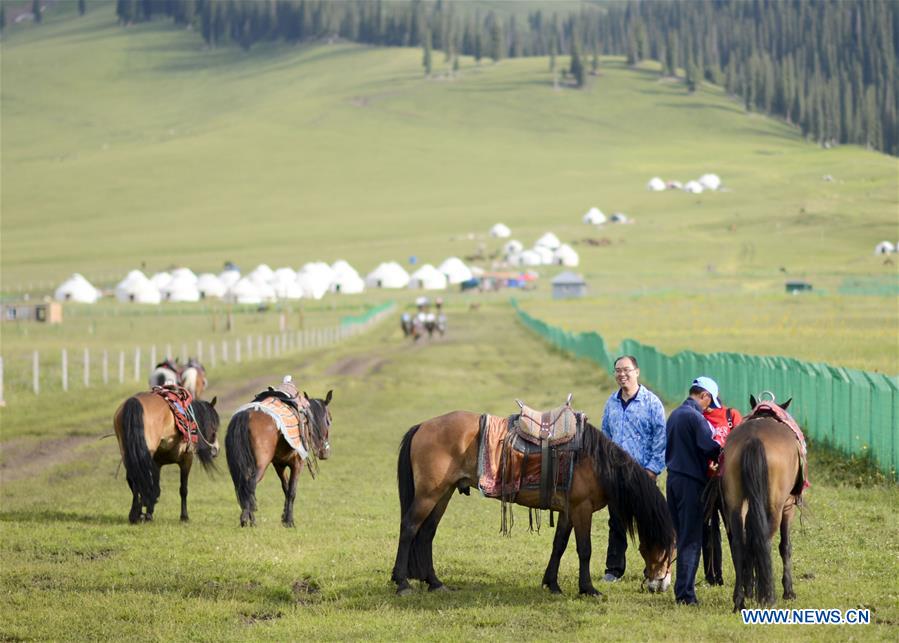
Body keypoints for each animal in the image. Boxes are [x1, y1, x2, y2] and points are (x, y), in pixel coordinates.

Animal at [112, 392, 220, 524]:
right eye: (214, 427)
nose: (215, 450)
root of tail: (133, 402)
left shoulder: (156, 464)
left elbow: (155, 486)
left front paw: (149, 512)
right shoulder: (187, 459)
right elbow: (183, 489)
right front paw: (184, 517)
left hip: (128, 452)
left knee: (134, 478)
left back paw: (137, 514)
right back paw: (136, 515)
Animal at [225, 392, 334, 528]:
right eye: (329, 420)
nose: (325, 452)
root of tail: (246, 415)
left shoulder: (279, 465)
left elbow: (285, 489)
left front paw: (284, 518)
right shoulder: (297, 464)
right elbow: (292, 491)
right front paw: (289, 521)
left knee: (243, 486)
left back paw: (251, 520)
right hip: (260, 465)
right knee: (250, 485)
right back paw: (247, 519)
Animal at [394, 412, 676, 600]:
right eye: (668, 550)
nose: (660, 585)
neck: (594, 461)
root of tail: (423, 426)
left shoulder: (568, 512)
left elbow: (559, 545)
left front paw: (552, 584)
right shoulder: (581, 509)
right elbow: (584, 550)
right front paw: (588, 589)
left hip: (443, 493)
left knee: (427, 533)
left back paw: (434, 583)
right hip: (429, 494)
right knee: (409, 528)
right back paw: (402, 583)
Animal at [720, 394, 804, 612]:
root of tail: (754, 439)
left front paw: (750, 587)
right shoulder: (788, 507)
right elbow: (785, 546)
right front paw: (788, 591)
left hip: (735, 502)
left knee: (739, 544)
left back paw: (740, 599)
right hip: (775, 505)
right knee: (764, 540)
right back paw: (767, 596)